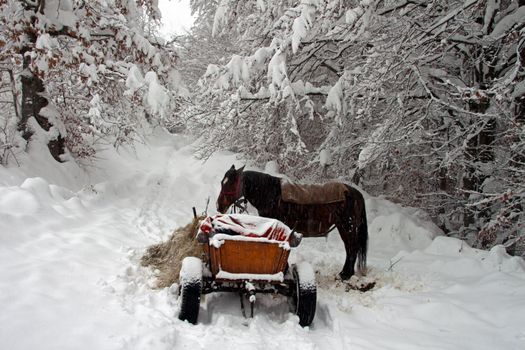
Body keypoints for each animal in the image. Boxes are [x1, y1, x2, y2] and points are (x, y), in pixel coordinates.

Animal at [217, 165, 368, 280]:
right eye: (222, 182)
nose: (219, 205)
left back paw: (346, 275)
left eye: (231, 184)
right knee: (349, 248)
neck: (272, 194)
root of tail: (355, 193)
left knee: (352, 248)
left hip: (347, 226)